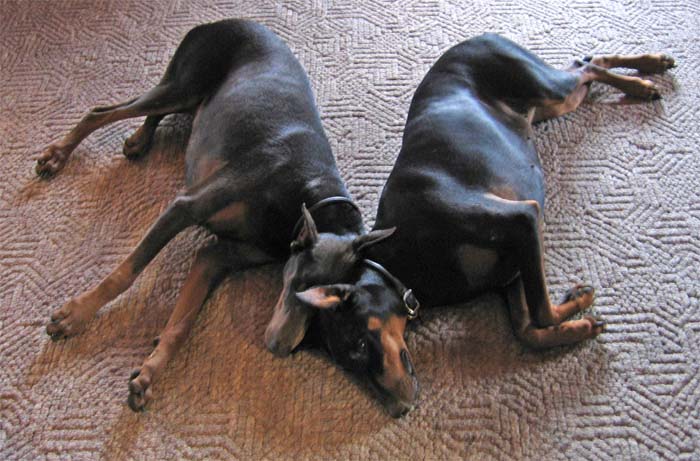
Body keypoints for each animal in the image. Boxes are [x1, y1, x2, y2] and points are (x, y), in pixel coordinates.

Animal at [39, 19, 393, 411]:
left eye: (329, 310)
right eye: (299, 285)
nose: (280, 348)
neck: (306, 197)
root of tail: (226, 21)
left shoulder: (217, 257)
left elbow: (183, 321)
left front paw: (150, 373)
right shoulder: (185, 207)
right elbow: (125, 273)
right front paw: (75, 315)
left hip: (191, 99)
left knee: (149, 112)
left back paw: (139, 140)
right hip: (184, 84)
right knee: (104, 110)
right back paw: (58, 155)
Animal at [283, 34, 675, 417]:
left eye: (361, 344)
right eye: (347, 365)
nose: (398, 410)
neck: (403, 257)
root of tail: (473, 38)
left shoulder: (522, 219)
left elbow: (542, 311)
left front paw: (576, 305)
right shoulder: (510, 270)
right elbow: (527, 329)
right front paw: (579, 314)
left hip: (545, 86)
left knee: (587, 65)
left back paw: (647, 77)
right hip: (552, 105)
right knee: (586, 66)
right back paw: (648, 73)